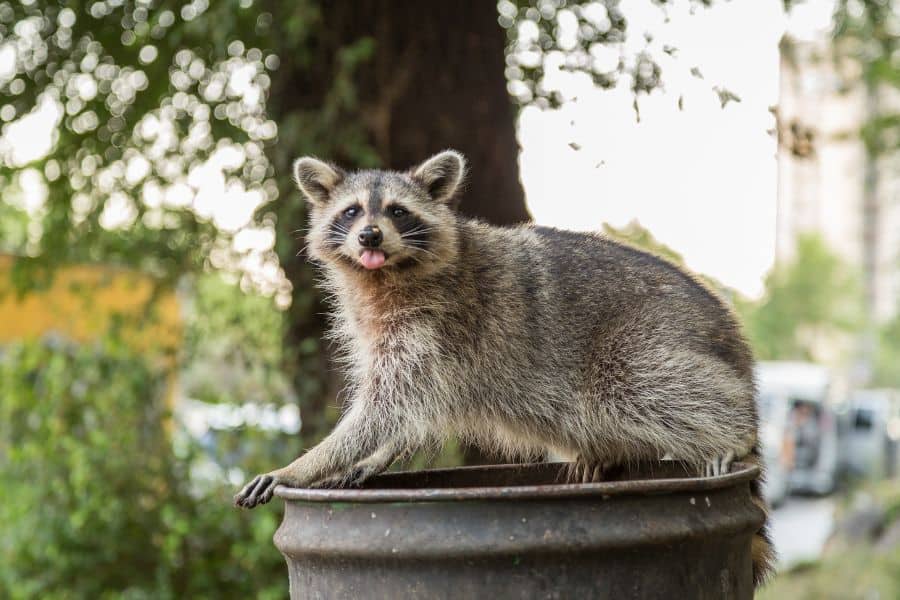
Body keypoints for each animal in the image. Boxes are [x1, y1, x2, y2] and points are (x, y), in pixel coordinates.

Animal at [236, 150, 776, 584]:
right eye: (351, 211)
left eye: (396, 211)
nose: (369, 234)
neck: (386, 276)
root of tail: (732, 338)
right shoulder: (393, 333)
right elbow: (405, 411)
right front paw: (373, 458)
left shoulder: (435, 325)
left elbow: (386, 409)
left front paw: (305, 464)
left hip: (648, 335)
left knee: (640, 385)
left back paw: (733, 431)